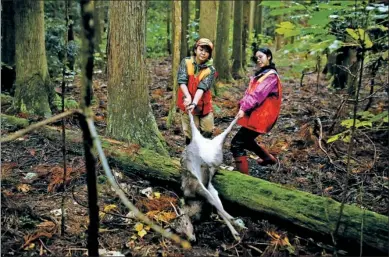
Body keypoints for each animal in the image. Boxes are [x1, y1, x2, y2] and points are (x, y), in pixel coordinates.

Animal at [176, 110, 246, 240]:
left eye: (186, 223)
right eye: (179, 233)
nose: (191, 238)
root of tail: (201, 140)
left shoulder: (200, 186)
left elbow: (217, 205)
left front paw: (236, 224)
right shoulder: (210, 188)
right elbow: (218, 206)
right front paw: (236, 234)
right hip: (218, 141)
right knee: (227, 129)